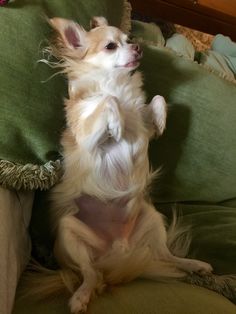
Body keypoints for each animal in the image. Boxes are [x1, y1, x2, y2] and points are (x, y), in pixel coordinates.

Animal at [43, 17, 212, 314]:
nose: (138, 47)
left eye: (129, 38)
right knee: (90, 273)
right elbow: (107, 101)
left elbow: (157, 99)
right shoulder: (87, 139)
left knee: (166, 257)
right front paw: (118, 125)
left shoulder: (144, 120)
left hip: (152, 219)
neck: (116, 85)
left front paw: (159, 121)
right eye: (111, 46)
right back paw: (81, 296)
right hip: (68, 233)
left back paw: (194, 264)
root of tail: (117, 253)